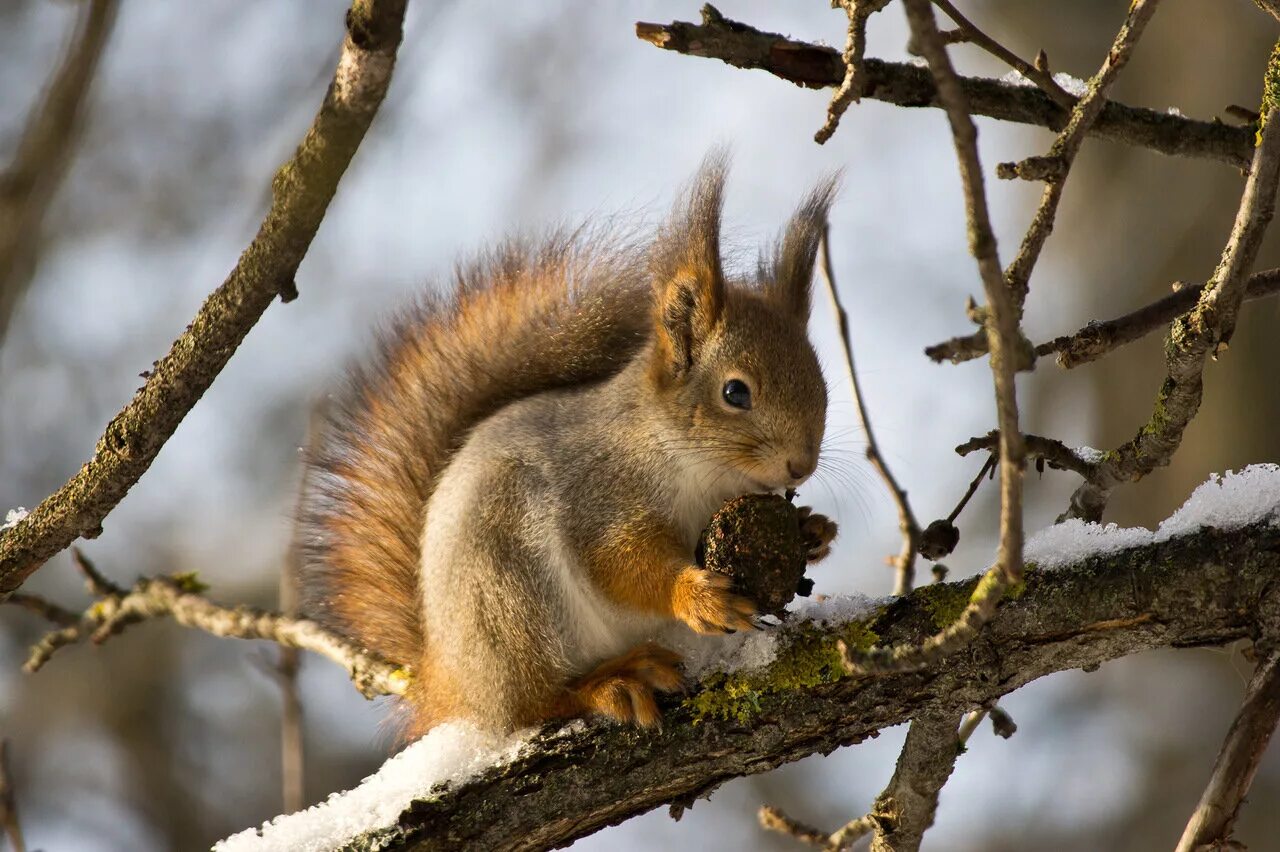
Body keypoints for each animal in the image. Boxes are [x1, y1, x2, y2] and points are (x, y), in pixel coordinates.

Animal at [298, 156, 839, 741]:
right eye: (735, 393)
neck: (698, 467)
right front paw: (695, 594)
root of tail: (452, 682)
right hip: (508, 582)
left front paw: (811, 528)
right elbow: (618, 562)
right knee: (532, 704)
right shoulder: (600, 493)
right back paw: (611, 683)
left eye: (821, 382)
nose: (801, 465)